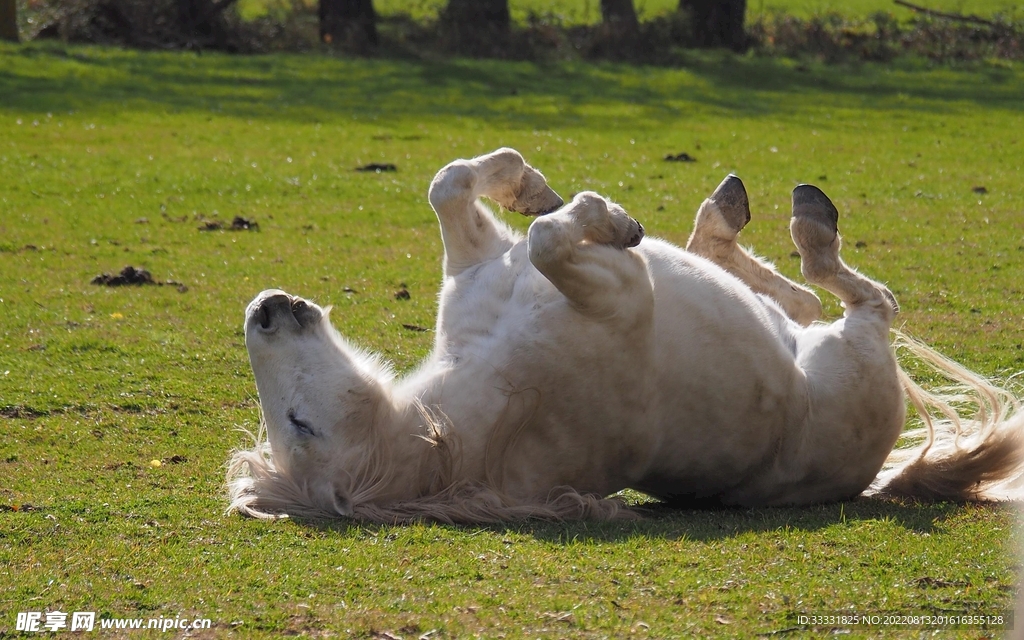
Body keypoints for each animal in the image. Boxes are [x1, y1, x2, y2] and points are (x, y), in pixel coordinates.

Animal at [227, 148, 1024, 523]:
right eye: (298, 423)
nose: (263, 309)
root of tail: (875, 471)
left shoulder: (481, 263)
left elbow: (455, 186)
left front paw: (533, 187)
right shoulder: (618, 294)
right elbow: (550, 239)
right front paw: (603, 214)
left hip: (803, 330)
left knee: (793, 296)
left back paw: (724, 215)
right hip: (854, 349)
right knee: (860, 296)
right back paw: (803, 223)